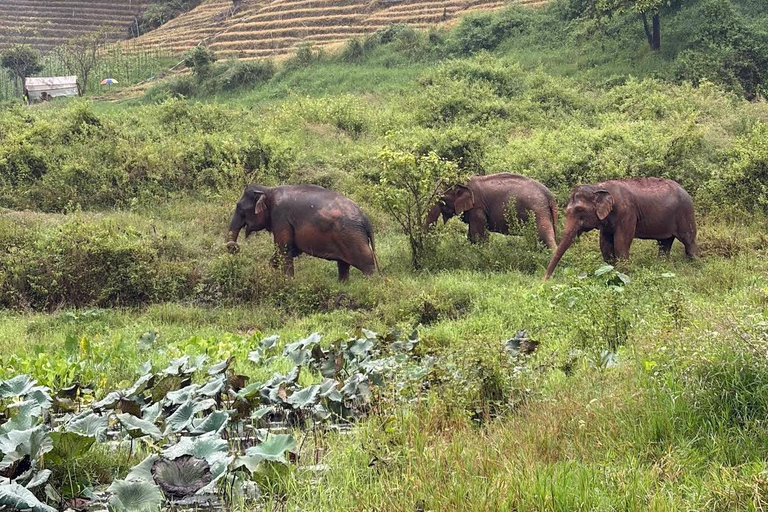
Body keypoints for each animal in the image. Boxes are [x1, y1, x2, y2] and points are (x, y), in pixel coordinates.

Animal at [227, 184, 379, 282]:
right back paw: (342, 285)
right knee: (343, 263)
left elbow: (284, 247)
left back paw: (370, 284)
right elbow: (288, 249)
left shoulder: (281, 216)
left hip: (351, 235)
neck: (268, 190)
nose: (234, 247)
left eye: (240, 208)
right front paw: (271, 273)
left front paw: (288, 282)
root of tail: (366, 220)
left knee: (366, 261)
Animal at [425, 173, 558, 249]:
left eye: (441, 199)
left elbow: (478, 234)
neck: (462, 179)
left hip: (538, 210)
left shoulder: (477, 207)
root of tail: (550, 195)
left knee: (544, 234)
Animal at [542, 178, 698, 280]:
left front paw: (623, 273)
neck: (597, 188)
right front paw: (611, 270)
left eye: (580, 210)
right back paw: (663, 266)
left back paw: (696, 263)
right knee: (664, 243)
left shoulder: (627, 212)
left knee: (688, 240)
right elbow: (605, 245)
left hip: (685, 212)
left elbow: (621, 243)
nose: (544, 281)